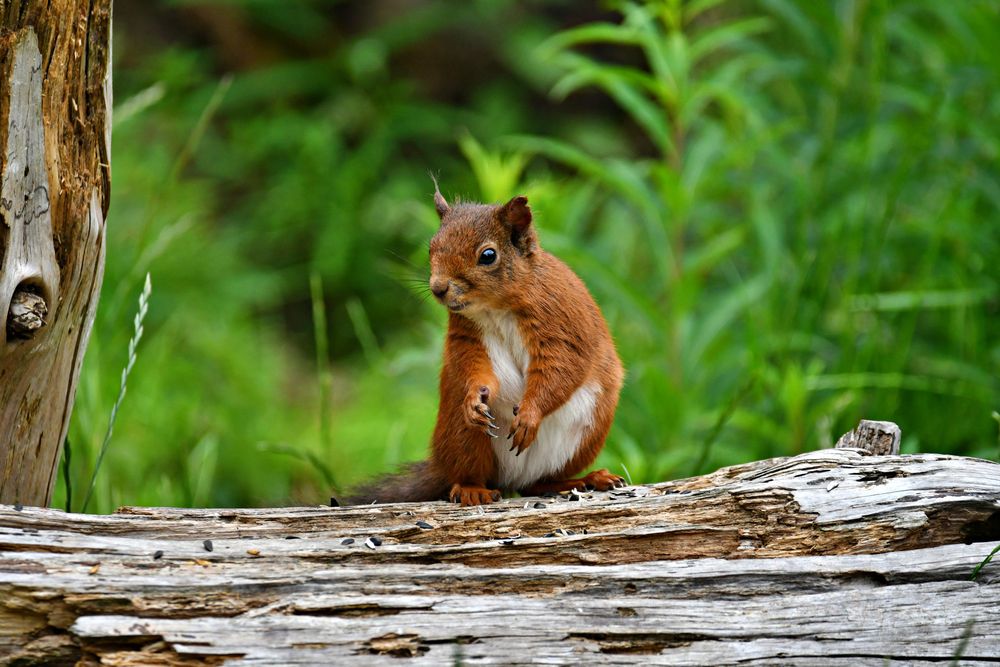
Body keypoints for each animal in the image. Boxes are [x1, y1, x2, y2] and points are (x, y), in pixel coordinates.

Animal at [348, 185, 625, 506]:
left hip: (588, 434)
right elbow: (473, 366)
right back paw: (472, 489)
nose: (438, 288)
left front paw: (529, 415)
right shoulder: (468, 337)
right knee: (475, 474)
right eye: (431, 247)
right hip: (464, 436)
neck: (496, 307)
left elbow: (561, 368)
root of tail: (513, 476)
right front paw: (474, 399)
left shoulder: (560, 325)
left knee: (539, 483)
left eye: (488, 255)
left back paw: (587, 479)